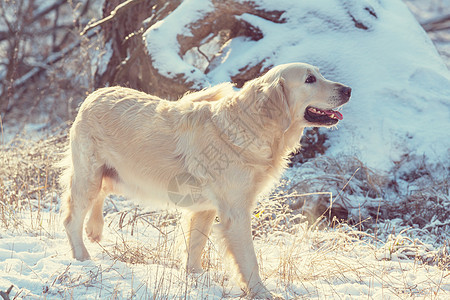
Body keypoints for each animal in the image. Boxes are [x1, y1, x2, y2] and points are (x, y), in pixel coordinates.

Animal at [60, 62, 352, 298]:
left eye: (319, 74)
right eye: (310, 79)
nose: (348, 90)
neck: (252, 126)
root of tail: (95, 94)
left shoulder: (206, 209)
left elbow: (195, 246)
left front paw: (195, 278)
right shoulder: (236, 212)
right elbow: (249, 259)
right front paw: (262, 293)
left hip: (113, 175)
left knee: (101, 195)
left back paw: (95, 229)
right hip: (89, 176)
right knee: (71, 219)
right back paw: (83, 257)